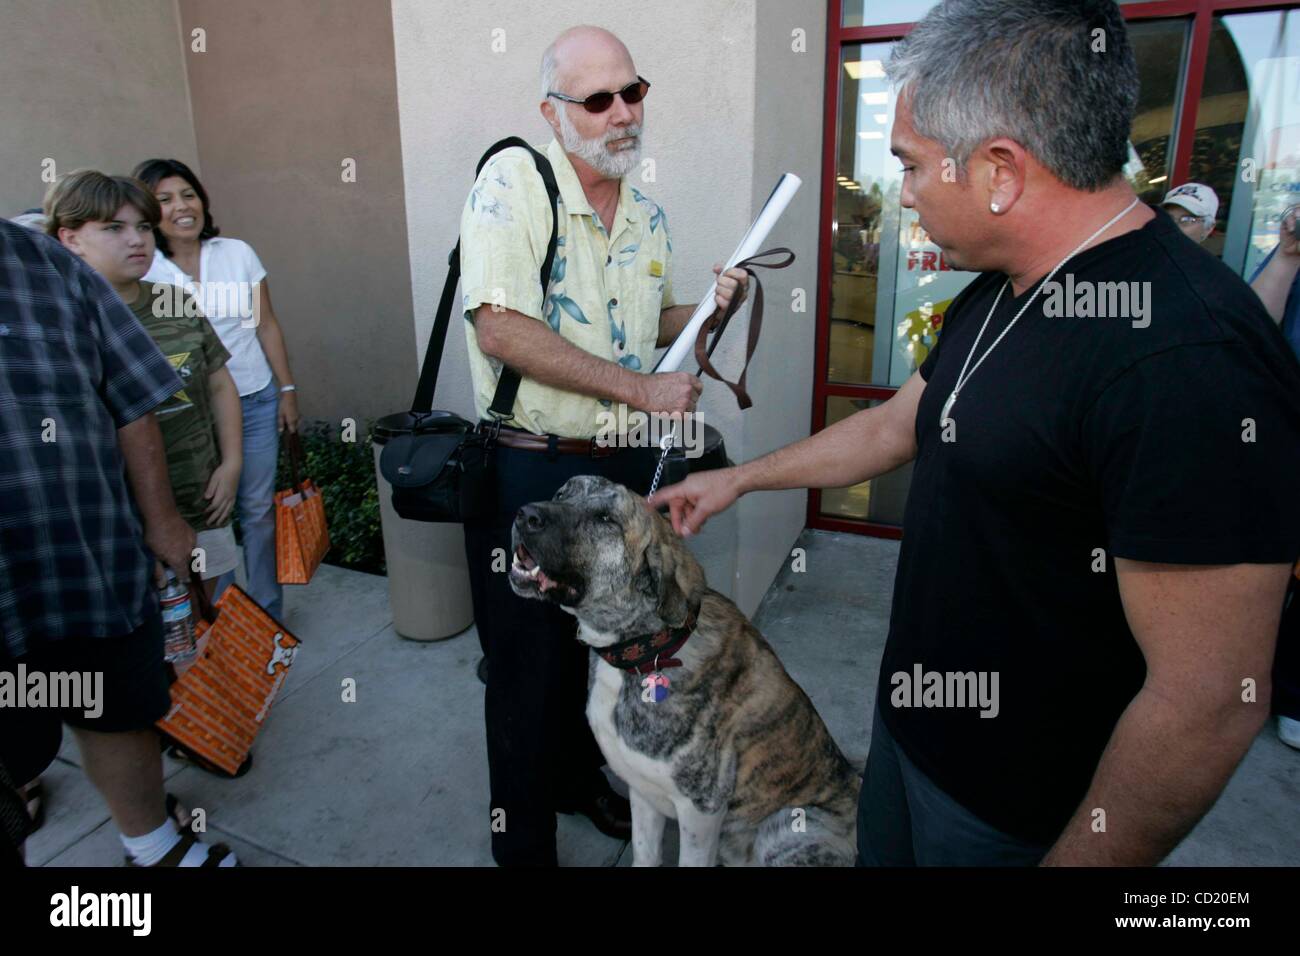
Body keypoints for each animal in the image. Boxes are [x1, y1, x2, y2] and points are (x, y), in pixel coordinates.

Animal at [509, 473, 863, 868]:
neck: (644, 650)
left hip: (790, 823)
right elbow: (644, 855)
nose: (525, 515)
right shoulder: (643, 792)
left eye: (605, 519)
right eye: (561, 493)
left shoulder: (701, 811)